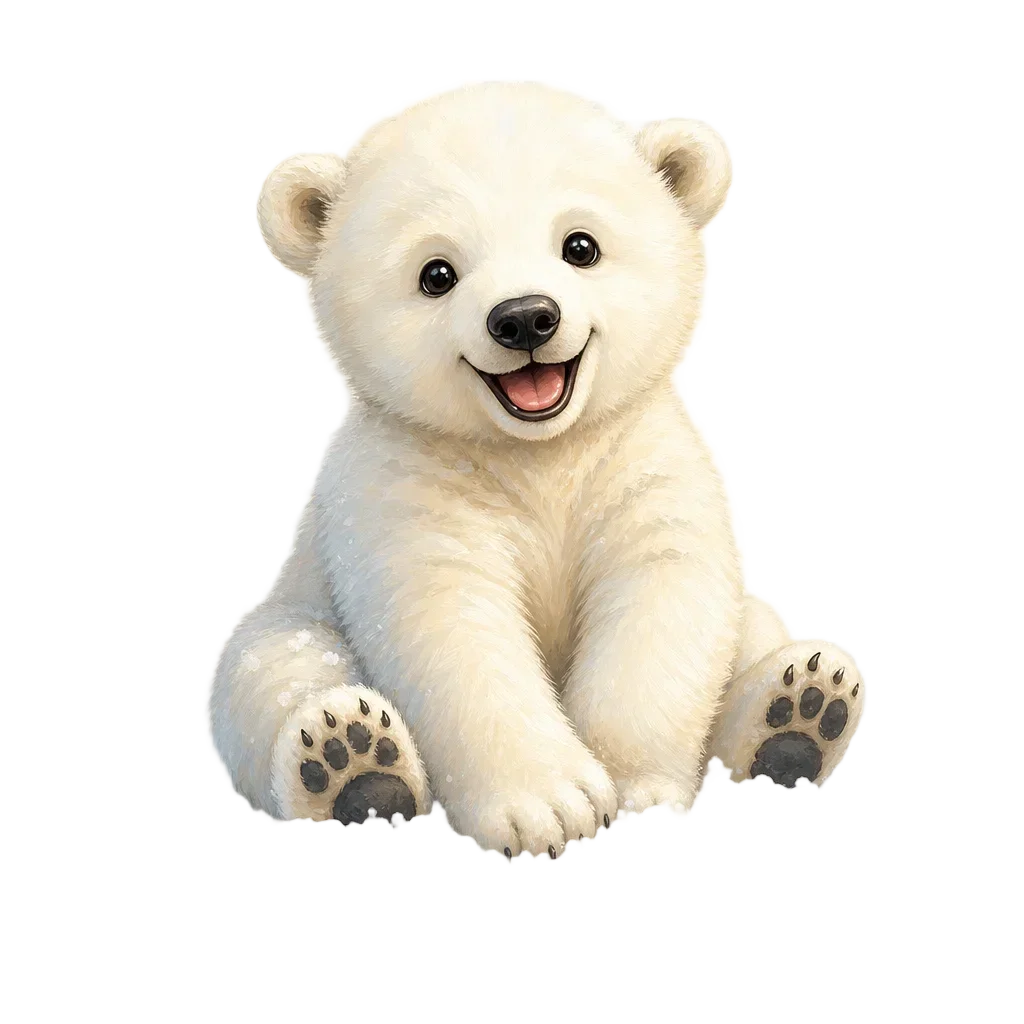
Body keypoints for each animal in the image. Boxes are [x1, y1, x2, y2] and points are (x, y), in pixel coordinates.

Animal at [213, 73, 868, 857]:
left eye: (580, 245)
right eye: (437, 273)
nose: (525, 317)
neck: (540, 453)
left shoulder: (643, 464)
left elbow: (657, 598)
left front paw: (637, 794)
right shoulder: (411, 484)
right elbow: (455, 624)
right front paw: (552, 809)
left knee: (768, 638)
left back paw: (802, 712)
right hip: (290, 615)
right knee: (274, 673)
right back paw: (354, 762)